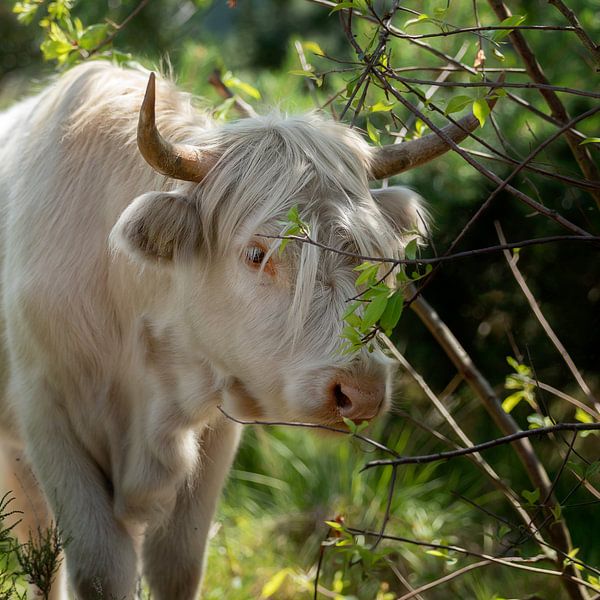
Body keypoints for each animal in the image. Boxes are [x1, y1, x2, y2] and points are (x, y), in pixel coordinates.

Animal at [0, 63, 478, 596]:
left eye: (377, 253)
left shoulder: (216, 431)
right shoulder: (48, 418)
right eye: (255, 253)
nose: (362, 391)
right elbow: (99, 568)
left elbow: (178, 563)